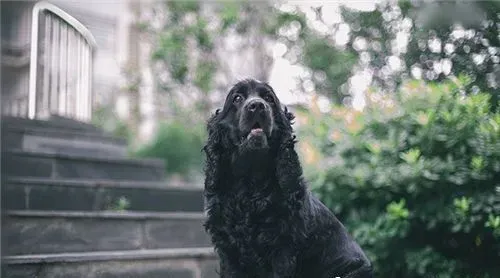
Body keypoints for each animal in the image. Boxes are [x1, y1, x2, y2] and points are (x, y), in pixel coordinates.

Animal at [202, 78, 372, 278]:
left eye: (269, 98)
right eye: (237, 98)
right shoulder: (228, 251)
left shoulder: (283, 249)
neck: (250, 185)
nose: (257, 105)